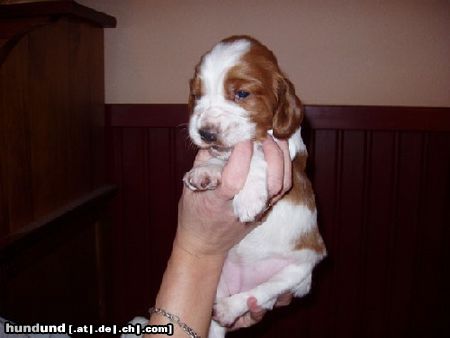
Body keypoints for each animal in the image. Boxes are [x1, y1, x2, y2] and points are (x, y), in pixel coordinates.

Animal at [183, 35, 326, 336]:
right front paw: (205, 171)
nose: (205, 133)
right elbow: (224, 158)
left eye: (241, 94)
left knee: (263, 294)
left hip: (302, 271)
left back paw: (229, 308)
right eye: (197, 95)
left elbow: (258, 154)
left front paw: (248, 200)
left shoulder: (287, 149)